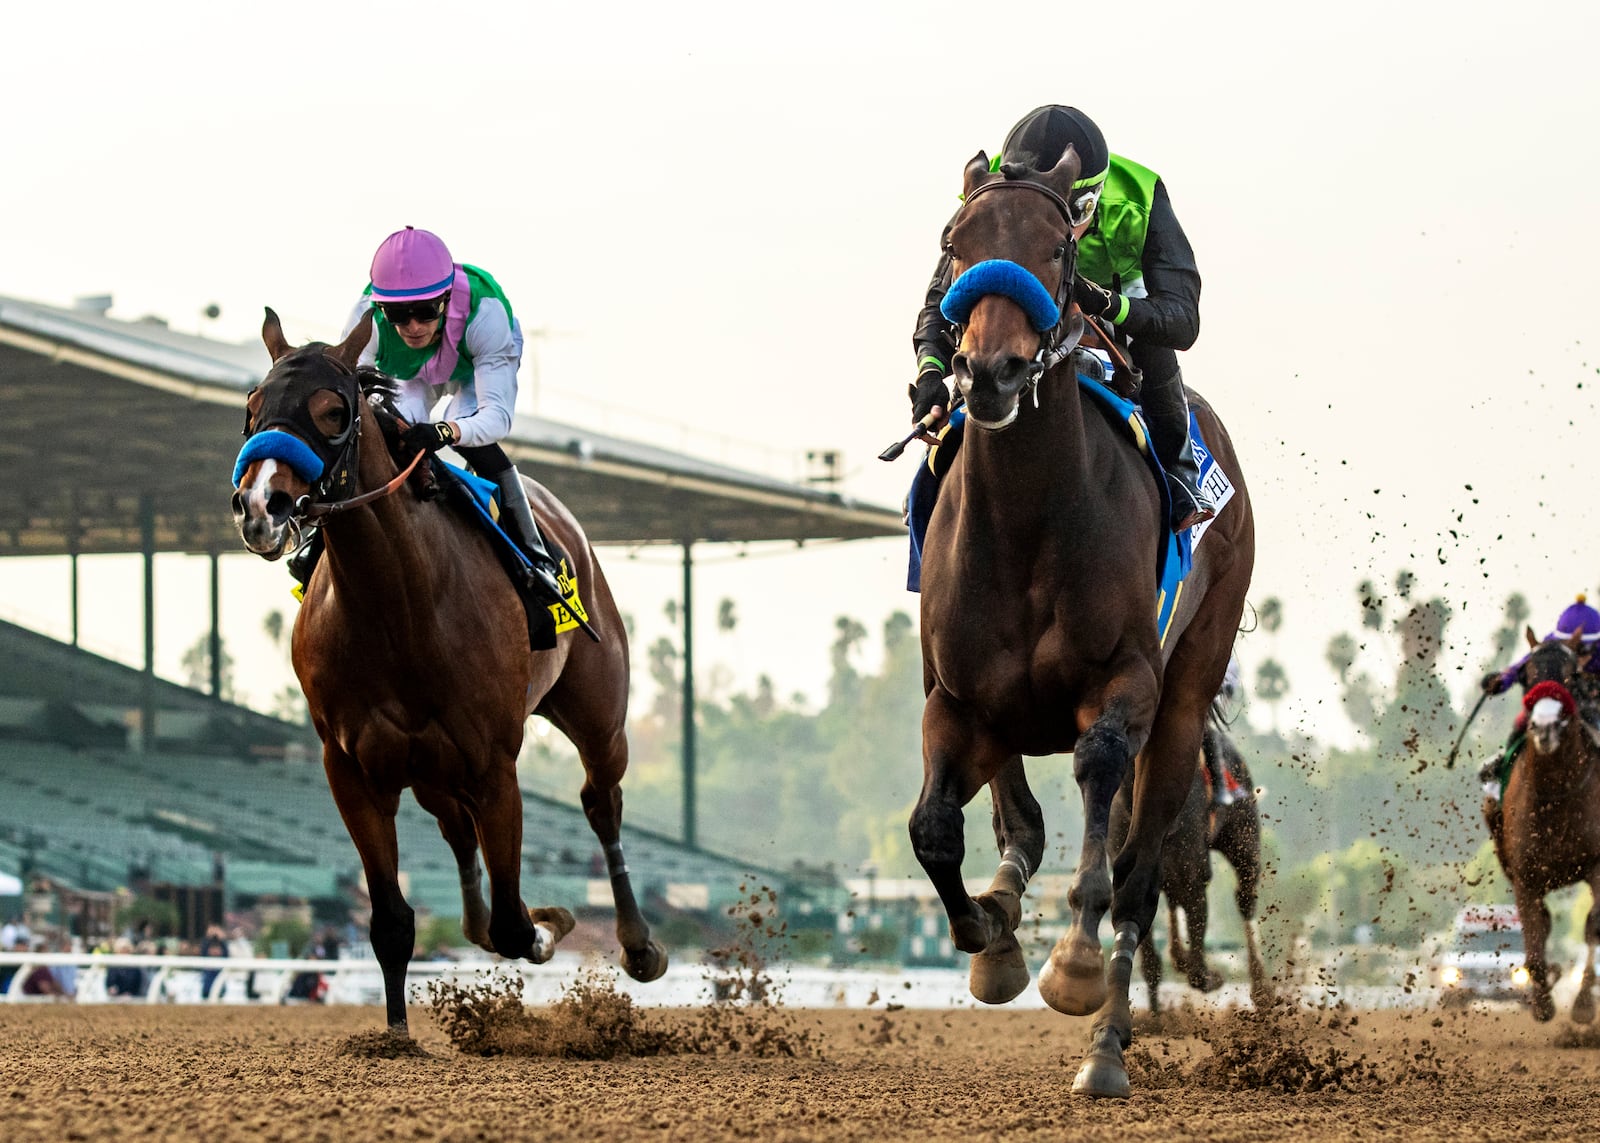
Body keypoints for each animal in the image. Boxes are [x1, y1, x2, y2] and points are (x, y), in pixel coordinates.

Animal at [228, 312, 665, 1030]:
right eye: (253, 406)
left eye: (333, 411)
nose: (261, 505)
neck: (399, 605)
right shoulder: (352, 769)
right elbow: (391, 922)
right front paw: (396, 1034)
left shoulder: (494, 763)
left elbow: (517, 926)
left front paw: (551, 924)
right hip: (430, 769)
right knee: (459, 834)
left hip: (599, 716)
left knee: (601, 803)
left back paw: (639, 944)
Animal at [908, 147, 1254, 1088]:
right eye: (955, 243)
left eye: (1059, 248)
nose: (989, 371)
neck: (1028, 516)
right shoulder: (956, 699)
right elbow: (936, 832)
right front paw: (988, 930)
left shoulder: (1124, 684)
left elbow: (1105, 820)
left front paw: (1072, 963)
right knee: (1014, 818)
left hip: (1184, 698)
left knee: (1140, 877)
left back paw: (1106, 1042)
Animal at [1484, 627, 1600, 1018]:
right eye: (1526, 675)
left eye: (1572, 675)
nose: (1545, 727)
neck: (1555, 796)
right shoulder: (1526, 876)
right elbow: (1535, 938)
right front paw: (1543, 1001)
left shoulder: (1597, 866)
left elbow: (1594, 927)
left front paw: (1583, 1006)